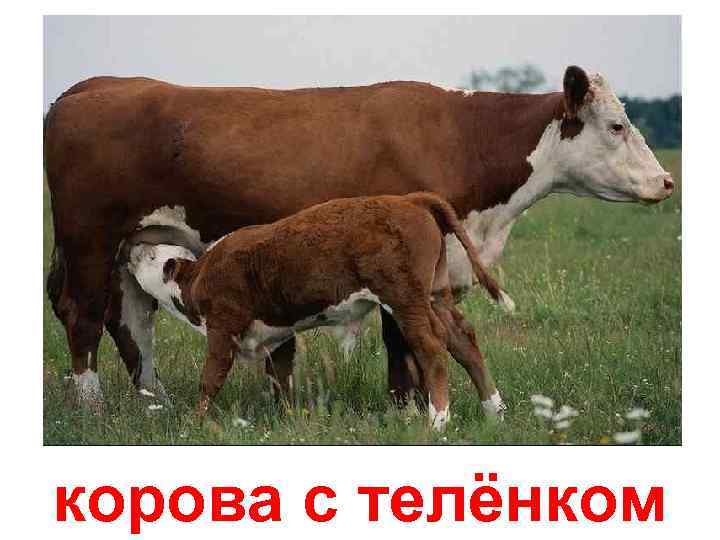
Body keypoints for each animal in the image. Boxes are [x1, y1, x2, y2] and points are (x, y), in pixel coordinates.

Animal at [124, 192, 513, 428]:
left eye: (151, 255)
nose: (130, 248)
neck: (198, 275)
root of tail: (408, 198)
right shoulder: (277, 334)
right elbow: (280, 378)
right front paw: (286, 419)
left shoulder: (222, 328)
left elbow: (210, 380)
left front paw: (195, 421)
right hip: (435, 294)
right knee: (463, 340)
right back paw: (494, 410)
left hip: (405, 299)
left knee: (432, 347)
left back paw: (438, 420)